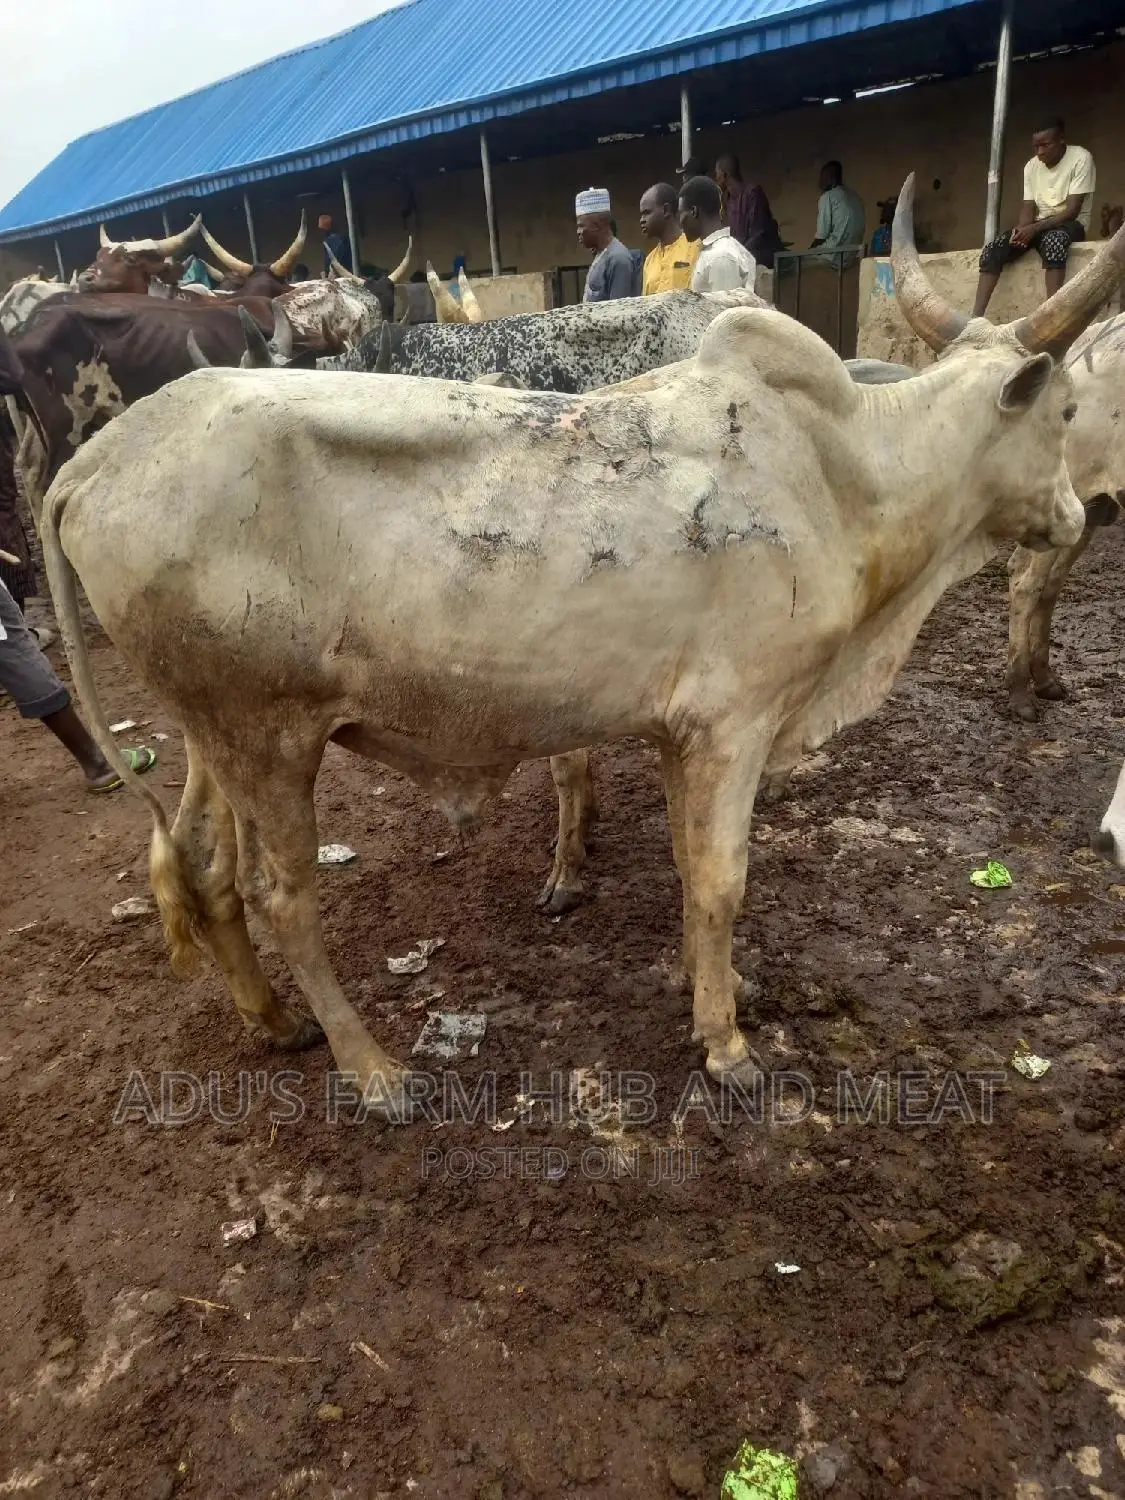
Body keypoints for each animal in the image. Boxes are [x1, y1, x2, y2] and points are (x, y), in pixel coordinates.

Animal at [38, 176, 1121, 1113]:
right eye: (1066, 410)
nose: (1079, 515)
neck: (847, 470)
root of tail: (93, 462)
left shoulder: (682, 731)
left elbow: (684, 867)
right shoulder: (734, 722)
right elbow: (719, 881)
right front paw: (726, 1045)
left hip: (214, 733)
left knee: (199, 867)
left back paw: (273, 1022)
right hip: (267, 737)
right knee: (280, 895)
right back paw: (373, 1071)